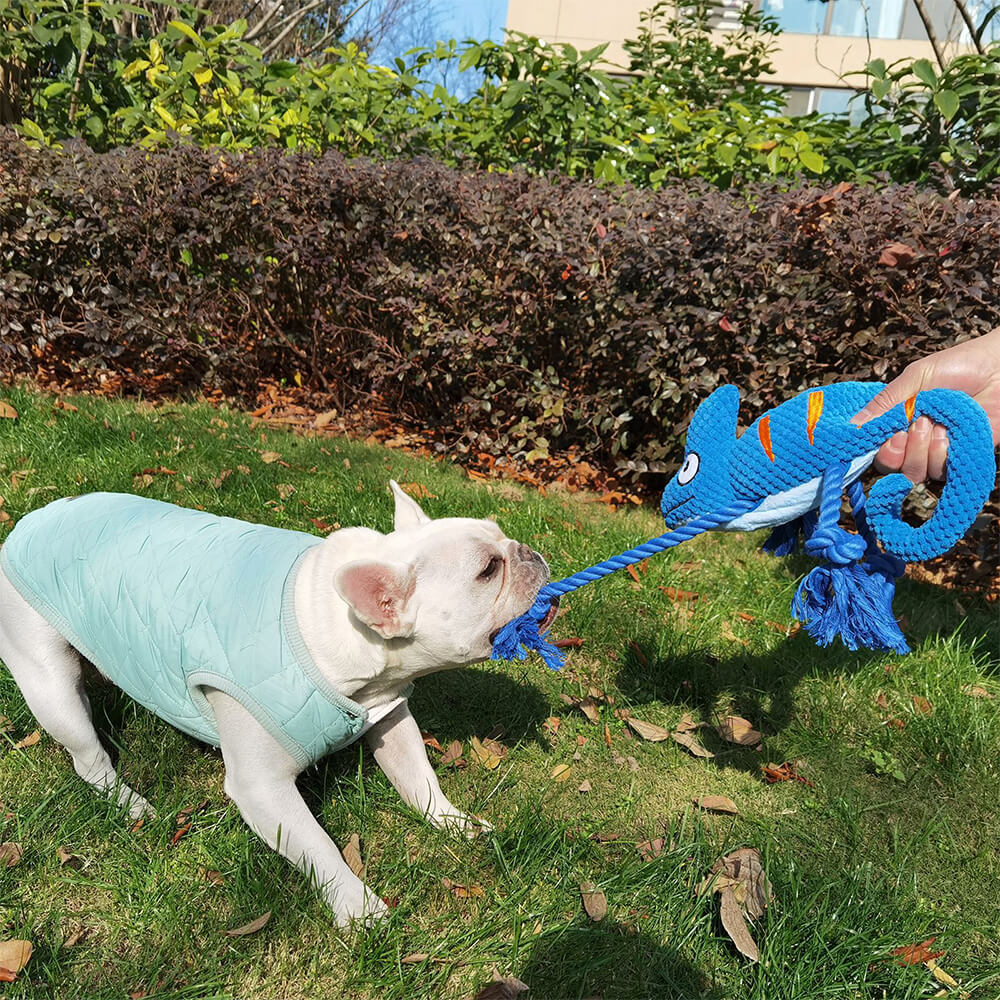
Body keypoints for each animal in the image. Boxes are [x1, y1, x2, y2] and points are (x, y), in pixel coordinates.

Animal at [0, 480, 556, 924]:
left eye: (499, 535)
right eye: (487, 571)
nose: (527, 550)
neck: (331, 625)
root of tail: (36, 515)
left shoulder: (390, 716)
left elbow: (419, 778)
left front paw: (452, 823)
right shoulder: (262, 787)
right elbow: (319, 848)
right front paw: (360, 910)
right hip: (49, 682)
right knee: (87, 757)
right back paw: (130, 803)